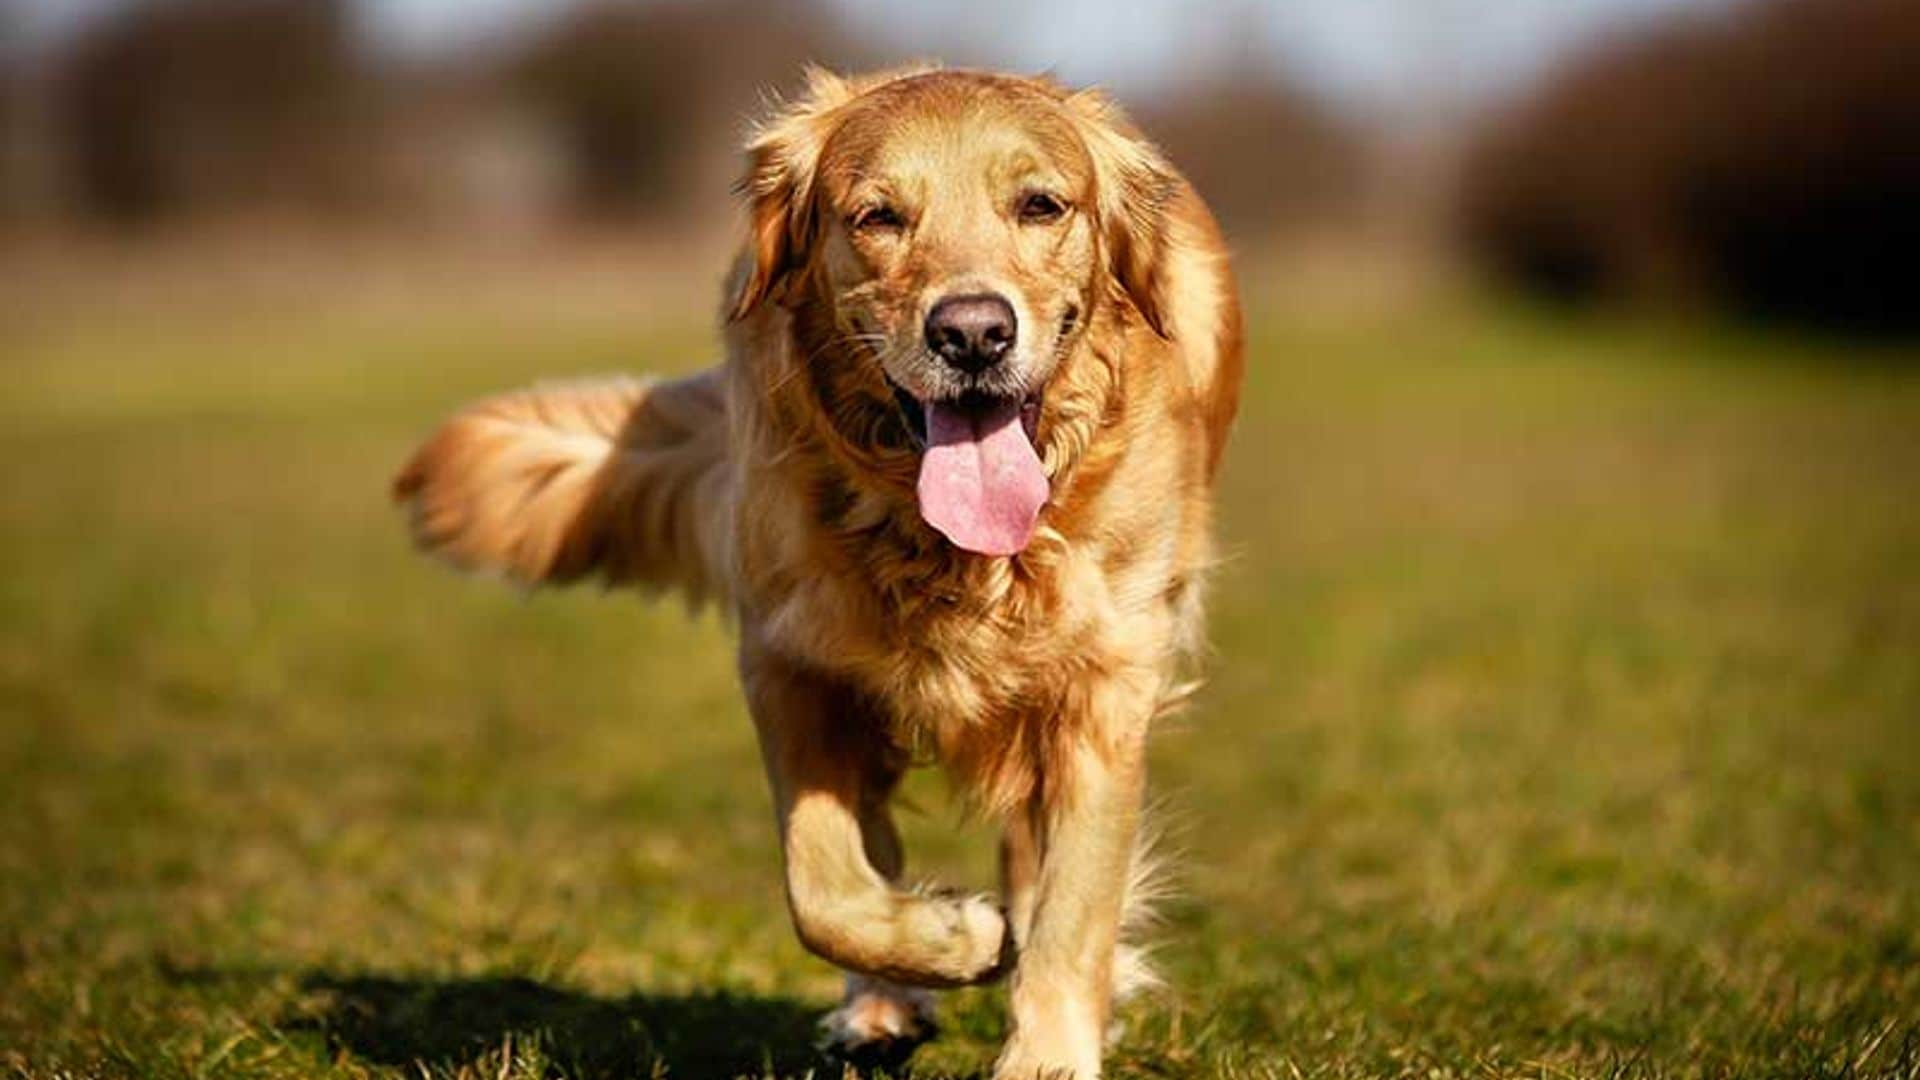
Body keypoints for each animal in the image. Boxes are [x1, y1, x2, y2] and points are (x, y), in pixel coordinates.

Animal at [393, 65, 1244, 1068]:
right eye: (878, 216)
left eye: (1041, 205)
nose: (972, 333)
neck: (949, 546)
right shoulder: (790, 663)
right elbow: (824, 888)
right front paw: (949, 936)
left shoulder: (1102, 687)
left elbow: (1073, 902)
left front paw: (1048, 1052)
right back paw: (885, 1000)